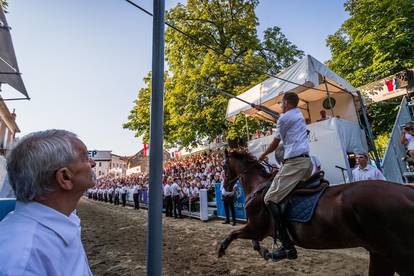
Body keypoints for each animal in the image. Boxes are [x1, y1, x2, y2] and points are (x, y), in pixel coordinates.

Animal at [220, 149, 414, 276]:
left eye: (223, 167)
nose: (225, 187)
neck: (258, 186)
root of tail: (407, 191)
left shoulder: (256, 228)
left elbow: (234, 234)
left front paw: (221, 250)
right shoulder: (256, 229)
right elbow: (252, 242)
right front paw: (267, 251)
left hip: (399, 255)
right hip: (380, 254)